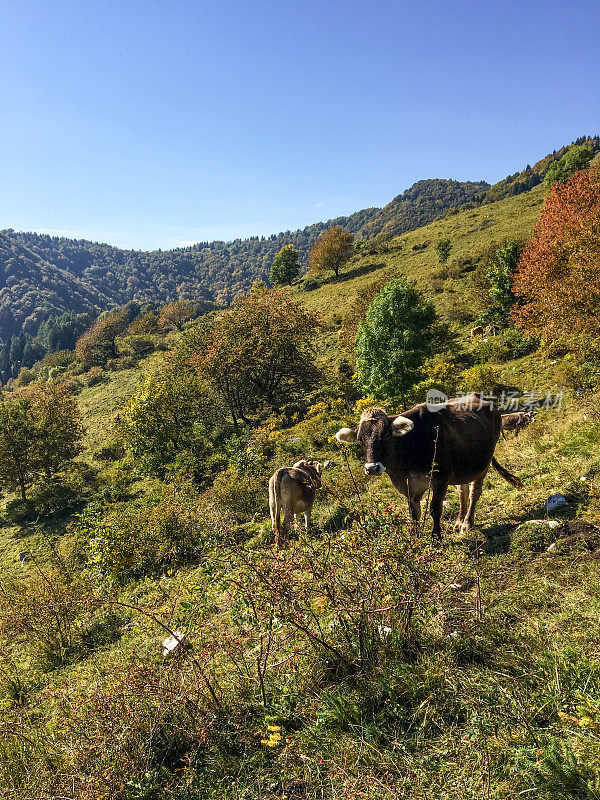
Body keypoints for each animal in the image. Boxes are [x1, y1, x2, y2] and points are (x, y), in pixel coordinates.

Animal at [336, 396, 524, 540]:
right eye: (360, 440)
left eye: (386, 437)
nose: (372, 468)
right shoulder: (408, 484)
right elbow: (413, 513)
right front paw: (415, 537)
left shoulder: (441, 477)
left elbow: (435, 508)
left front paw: (436, 537)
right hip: (462, 465)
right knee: (462, 490)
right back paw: (459, 521)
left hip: (483, 462)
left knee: (474, 492)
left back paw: (467, 522)